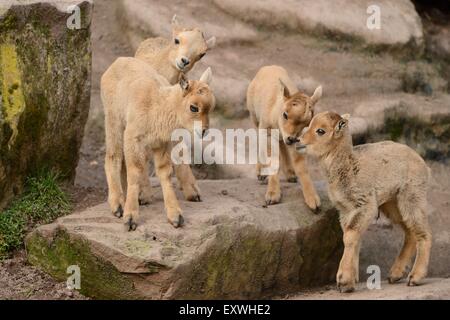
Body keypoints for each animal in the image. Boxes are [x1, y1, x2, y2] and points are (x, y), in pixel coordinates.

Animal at [246, 64, 324, 210]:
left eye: (306, 123)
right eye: (285, 114)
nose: (291, 138)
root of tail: (268, 67)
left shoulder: (297, 139)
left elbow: (301, 166)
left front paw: (313, 200)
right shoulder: (267, 131)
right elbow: (272, 160)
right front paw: (272, 196)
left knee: (281, 144)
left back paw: (290, 174)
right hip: (254, 118)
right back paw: (261, 172)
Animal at [298, 111, 432, 292]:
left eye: (320, 131)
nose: (297, 140)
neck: (349, 166)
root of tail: (424, 164)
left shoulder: (364, 204)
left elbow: (350, 235)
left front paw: (343, 280)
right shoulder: (345, 210)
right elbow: (352, 237)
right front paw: (351, 281)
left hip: (412, 195)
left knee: (424, 233)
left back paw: (415, 277)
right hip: (392, 203)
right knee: (410, 232)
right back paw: (395, 275)